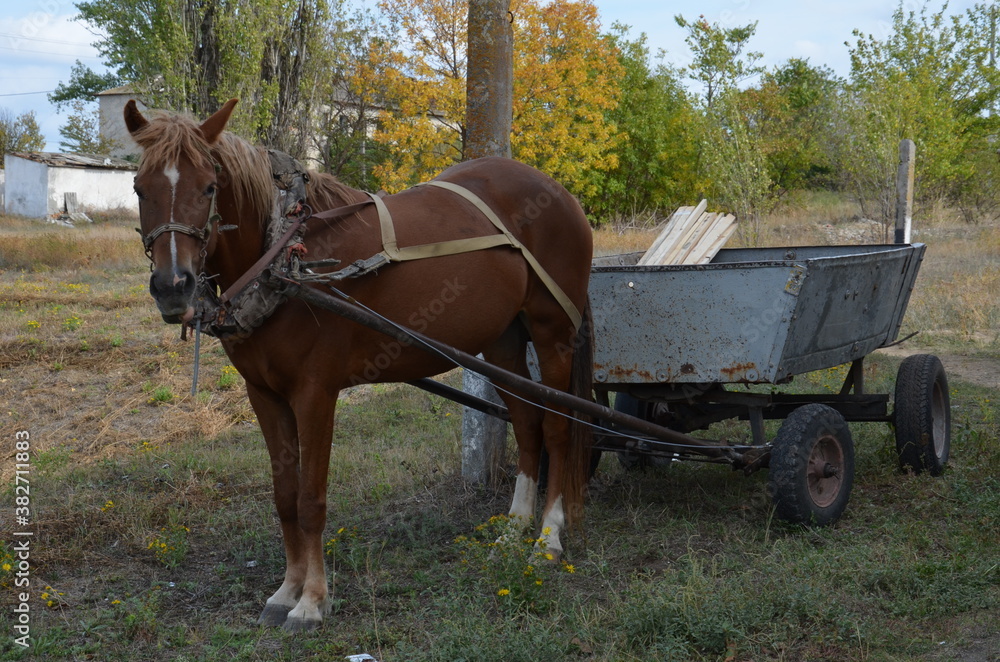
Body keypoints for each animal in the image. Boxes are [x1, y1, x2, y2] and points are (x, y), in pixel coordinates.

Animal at [124, 100, 592, 632]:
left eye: (208, 187)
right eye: (139, 188)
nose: (172, 287)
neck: (285, 257)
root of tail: (559, 191)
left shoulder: (315, 394)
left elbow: (310, 500)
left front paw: (312, 601)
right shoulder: (263, 394)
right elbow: (284, 496)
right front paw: (286, 590)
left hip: (553, 335)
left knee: (557, 428)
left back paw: (547, 539)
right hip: (504, 345)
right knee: (528, 425)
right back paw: (513, 530)